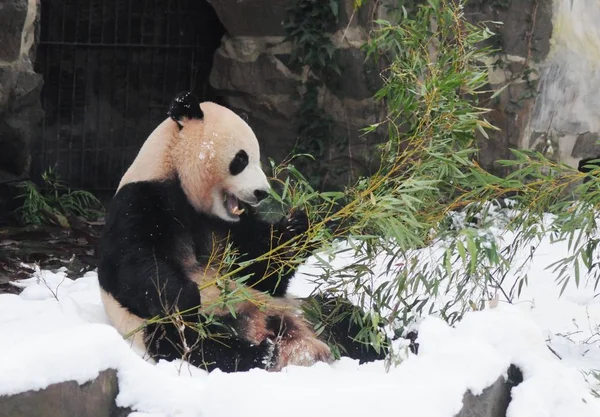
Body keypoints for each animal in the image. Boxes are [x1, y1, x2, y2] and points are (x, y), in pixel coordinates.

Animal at [98, 92, 332, 372]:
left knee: (337, 311)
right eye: (241, 159)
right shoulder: (140, 199)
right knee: (191, 341)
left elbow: (262, 271)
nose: (262, 193)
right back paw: (260, 353)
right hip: (158, 325)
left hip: (295, 306)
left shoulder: (232, 226)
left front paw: (297, 226)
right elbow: (128, 265)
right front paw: (186, 296)